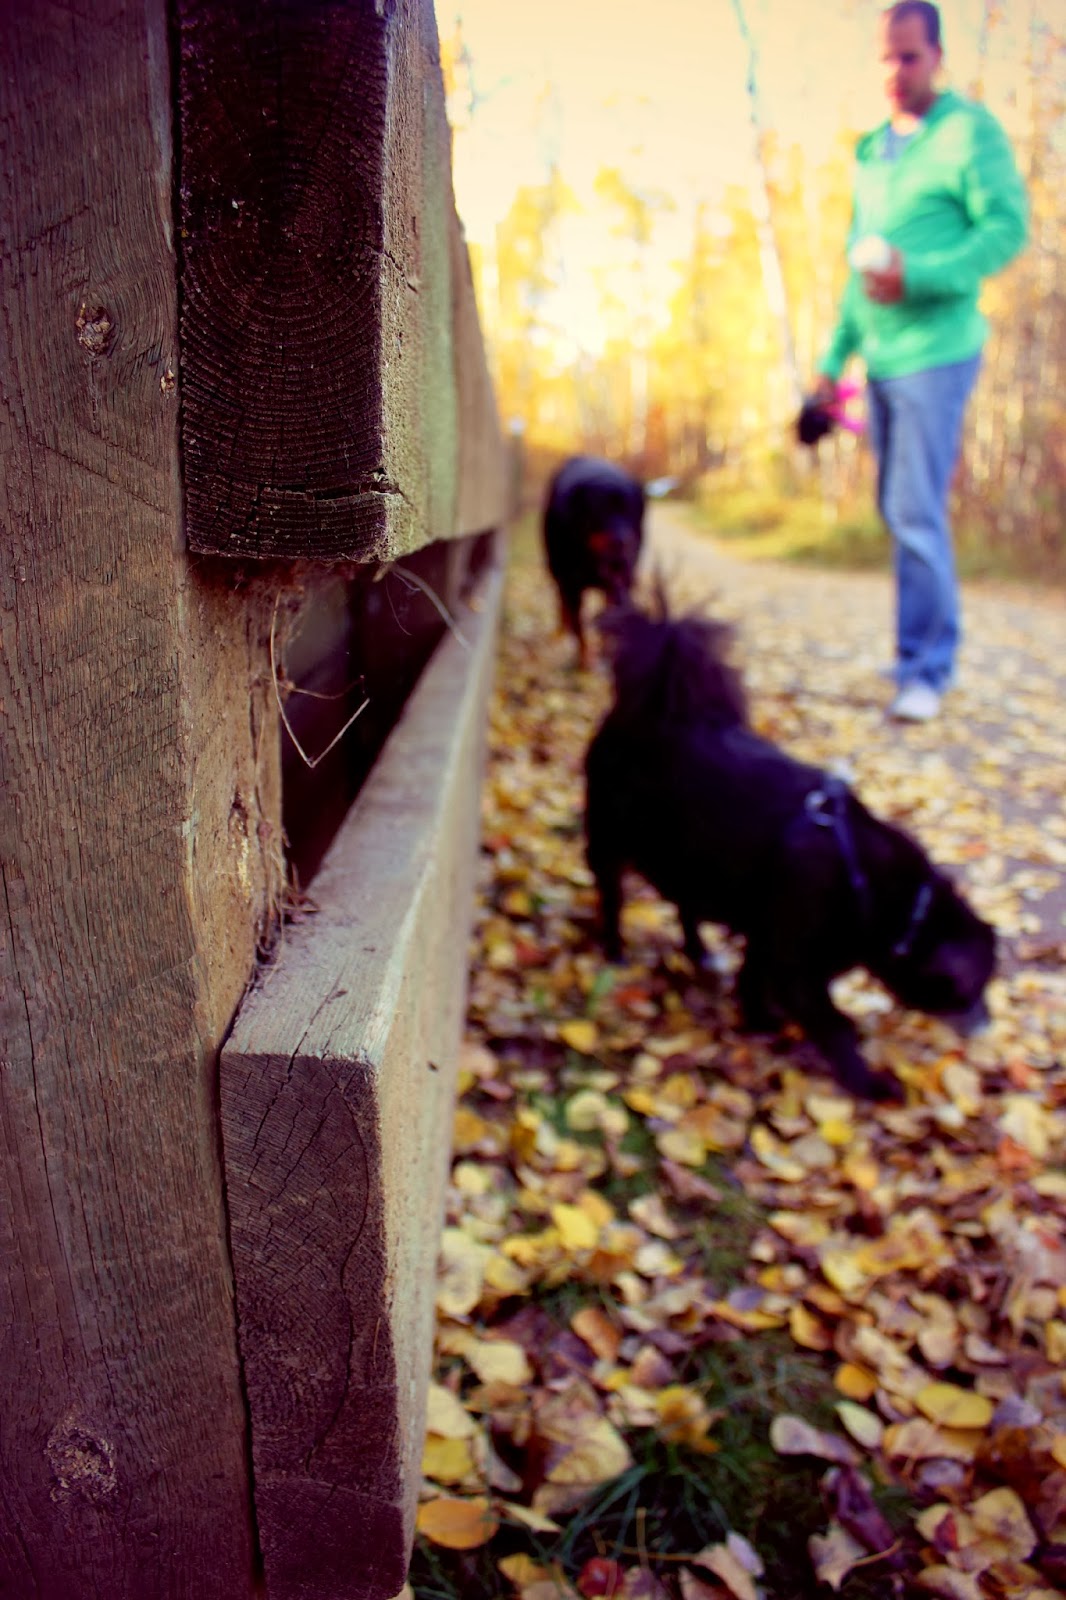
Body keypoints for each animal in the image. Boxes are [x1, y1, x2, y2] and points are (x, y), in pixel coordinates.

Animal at [542, 456, 645, 668]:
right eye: (601, 511)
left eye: (629, 511)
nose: (622, 542)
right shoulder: (571, 584)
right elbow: (579, 626)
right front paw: (585, 661)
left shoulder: (621, 581)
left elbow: (611, 616)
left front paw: (607, 651)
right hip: (556, 571)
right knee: (561, 601)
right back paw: (561, 631)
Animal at [584, 607, 995, 1101]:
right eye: (967, 992)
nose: (987, 1025)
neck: (873, 885)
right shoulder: (795, 959)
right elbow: (832, 1025)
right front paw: (869, 1083)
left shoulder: (770, 936)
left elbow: (752, 979)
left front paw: (759, 1021)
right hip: (612, 840)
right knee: (611, 896)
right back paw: (614, 949)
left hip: (692, 858)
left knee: (685, 905)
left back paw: (700, 952)